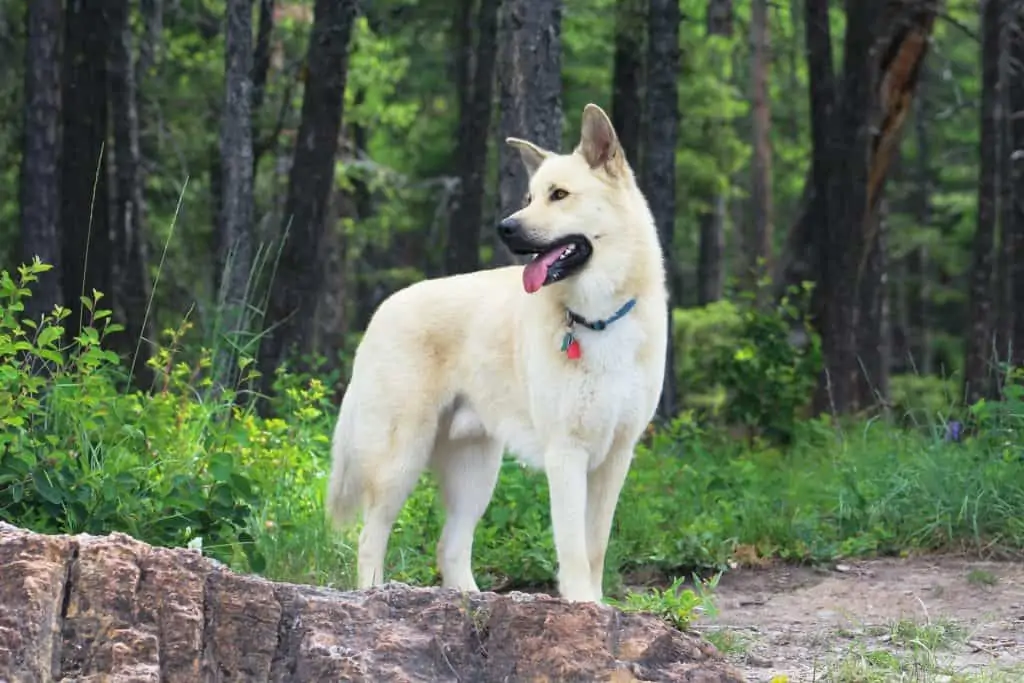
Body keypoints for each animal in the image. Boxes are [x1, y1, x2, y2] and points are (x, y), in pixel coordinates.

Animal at [323, 102, 667, 602]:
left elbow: (595, 547)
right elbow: (573, 549)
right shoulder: (566, 454)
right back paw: (374, 596)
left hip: (476, 473)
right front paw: (582, 604)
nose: (505, 227)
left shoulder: (616, 457)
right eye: (528, 197)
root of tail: (382, 310)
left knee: (449, 546)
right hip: (400, 461)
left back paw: (470, 600)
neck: (598, 318)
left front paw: (596, 604)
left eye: (559, 195)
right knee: (371, 537)